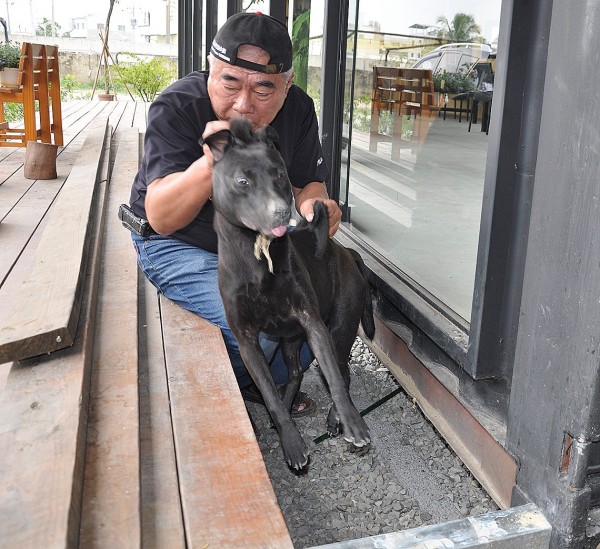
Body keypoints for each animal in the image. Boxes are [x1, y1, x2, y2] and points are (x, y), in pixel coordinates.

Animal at [206, 117, 376, 468]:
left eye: (281, 175)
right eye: (243, 180)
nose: (283, 212)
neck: (257, 258)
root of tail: (348, 253)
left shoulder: (313, 324)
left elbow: (334, 379)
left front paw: (352, 423)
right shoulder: (247, 341)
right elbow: (269, 393)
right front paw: (290, 439)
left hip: (339, 328)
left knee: (342, 373)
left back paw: (335, 418)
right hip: (289, 339)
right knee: (296, 372)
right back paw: (287, 407)